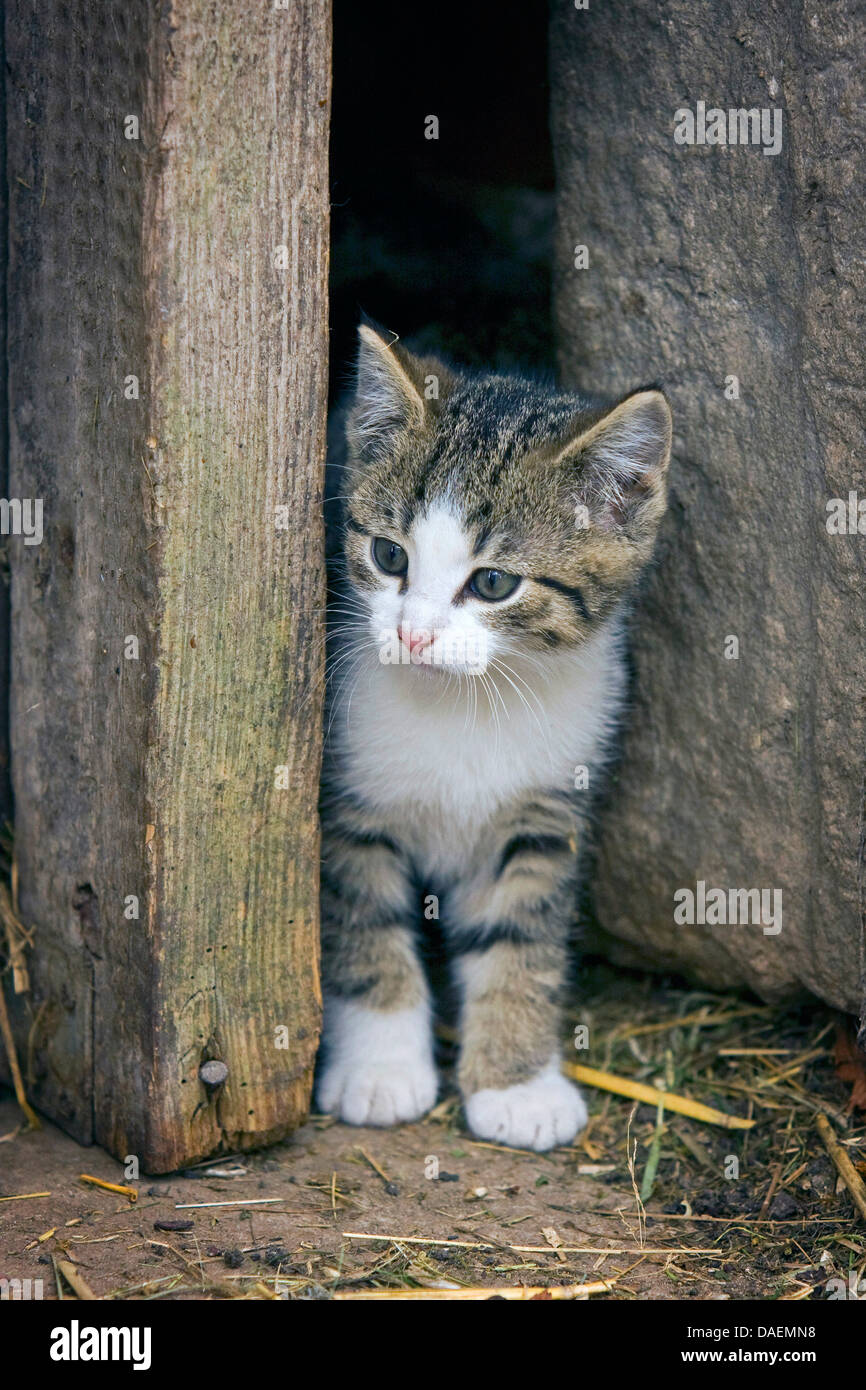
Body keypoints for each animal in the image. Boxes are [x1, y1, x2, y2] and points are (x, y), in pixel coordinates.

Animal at [315, 325, 675, 1150]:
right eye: (389, 556)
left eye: (492, 584)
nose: (412, 636)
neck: (468, 703)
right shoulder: (343, 807)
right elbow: (365, 928)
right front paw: (380, 1068)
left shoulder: (546, 812)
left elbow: (520, 942)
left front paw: (517, 1083)